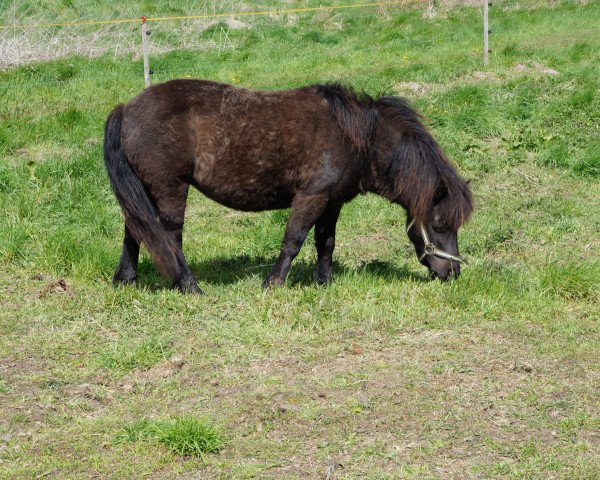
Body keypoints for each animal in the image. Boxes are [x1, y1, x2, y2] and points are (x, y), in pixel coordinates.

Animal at [104, 79, 474, 292]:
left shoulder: (332, 202)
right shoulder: (311, 197)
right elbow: (293, 240)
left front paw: (323, 283)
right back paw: (188, 286)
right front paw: (273, 284)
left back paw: (126, 281)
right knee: (168, 237)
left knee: (136, 232)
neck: (357, 138)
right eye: (440, 225)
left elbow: (326, 242)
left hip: (146, 190)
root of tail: (126, 108)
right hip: (170, 189)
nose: (453, 273)